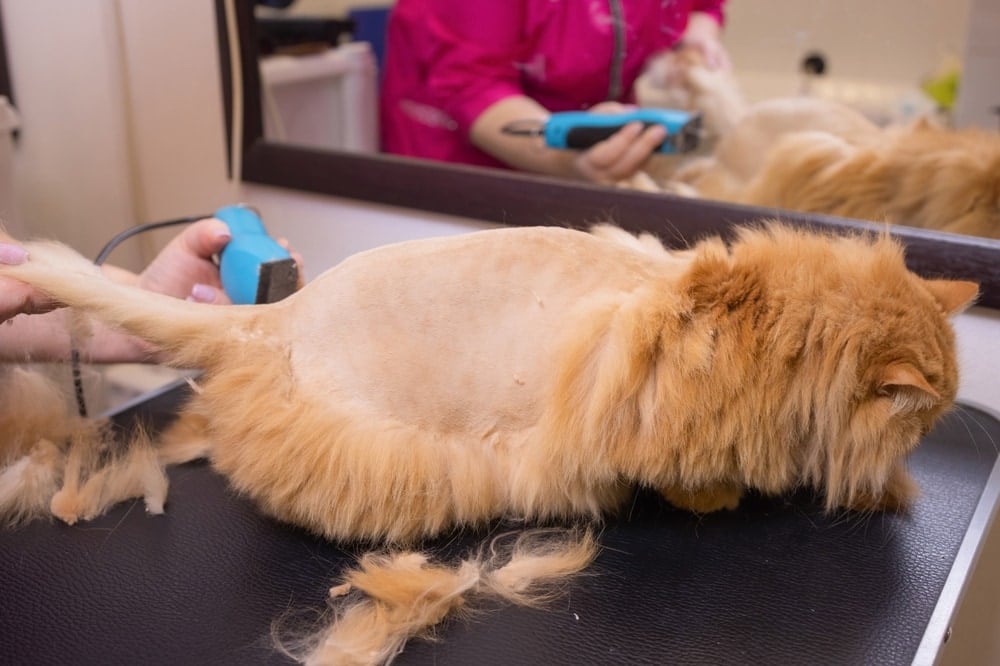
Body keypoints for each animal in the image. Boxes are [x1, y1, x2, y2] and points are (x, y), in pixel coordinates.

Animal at [0, 222, 976, 660]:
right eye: (925, 413)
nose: (942, 417)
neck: (776, 330)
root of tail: (278, 314)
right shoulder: (636, 404)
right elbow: (683, 475)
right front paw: (717, 494)